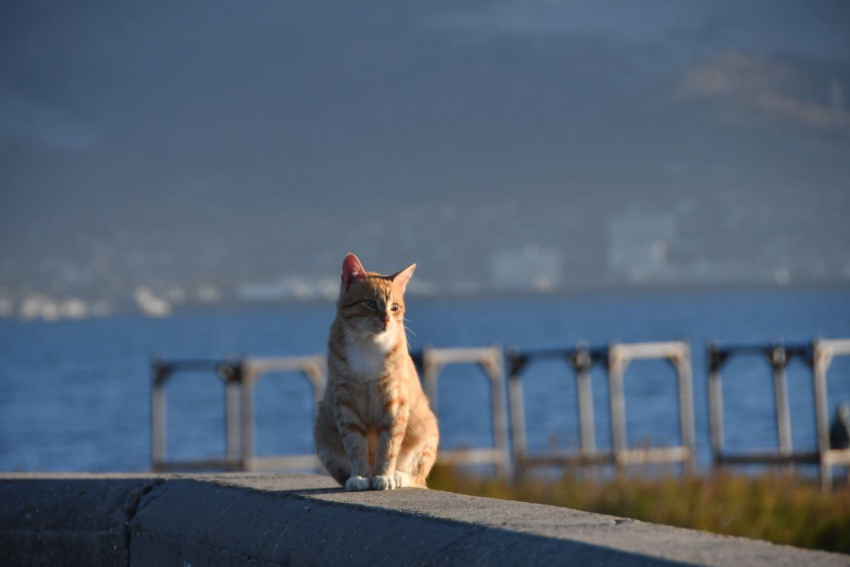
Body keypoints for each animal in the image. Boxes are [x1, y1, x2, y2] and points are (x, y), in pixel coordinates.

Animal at [314, 255, 440, 490]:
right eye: (370, 303)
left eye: (394, 307)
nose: (386, 320)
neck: (368, 344)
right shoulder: (345, 403)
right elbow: (355, 445)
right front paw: (360, 477)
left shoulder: (395, 402)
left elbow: (388, 445)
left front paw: (384, 476)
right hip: (322, 434)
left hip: (426, 432)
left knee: (418, 476)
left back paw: (399, 476)